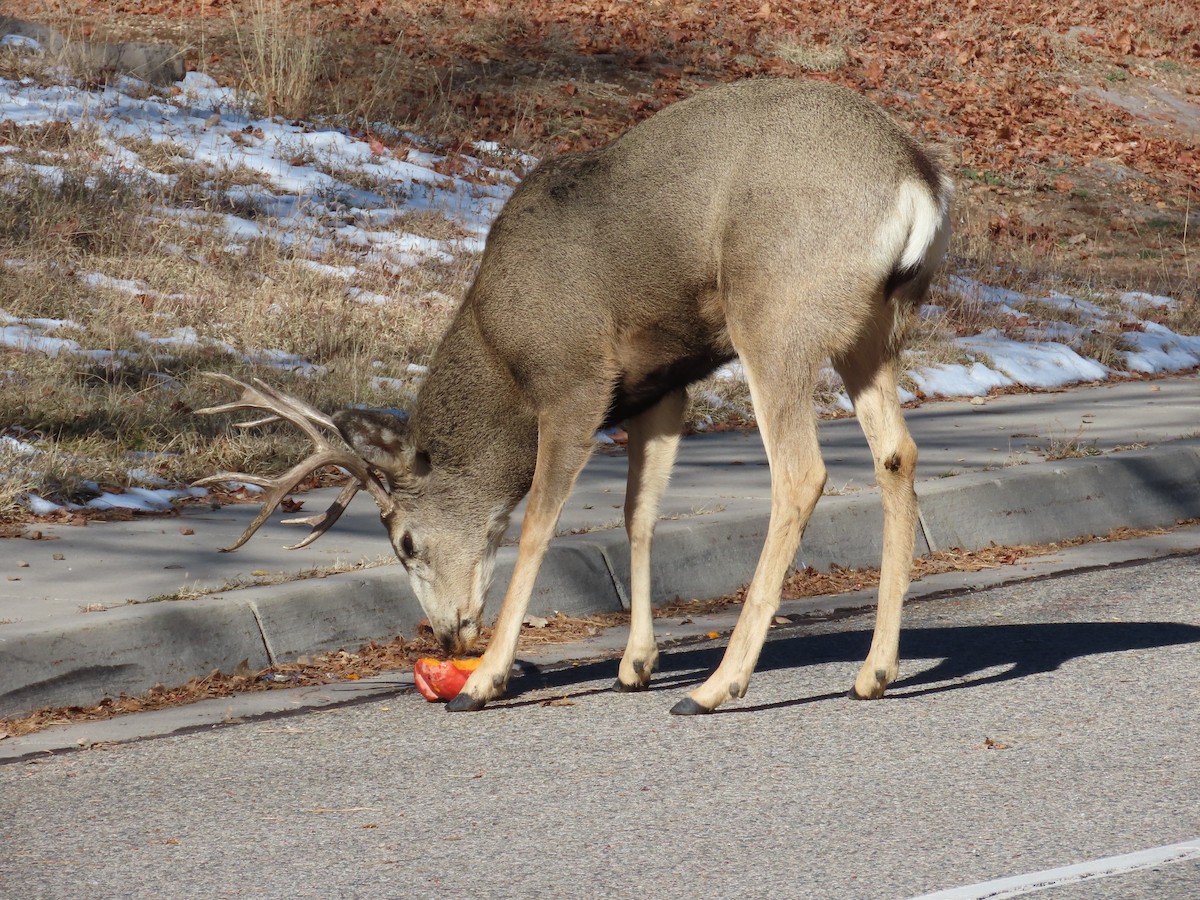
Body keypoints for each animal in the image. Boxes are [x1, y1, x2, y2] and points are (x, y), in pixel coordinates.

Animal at [196, 78, 953, 715]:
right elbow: (637, 515)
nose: (447, 638)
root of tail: (917, 184)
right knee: (897, 454)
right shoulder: (660, 387)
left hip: (775, 314)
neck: (501, 354)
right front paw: (634, 665)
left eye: (406, 542)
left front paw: (488, 680)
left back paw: (716, 687)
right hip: (871, 330)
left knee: (801, 472)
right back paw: (872, 673)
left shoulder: (574, 383)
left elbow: (536, 524)